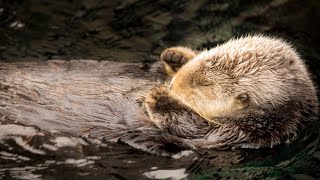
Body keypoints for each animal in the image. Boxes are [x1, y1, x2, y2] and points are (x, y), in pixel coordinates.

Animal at [144, 35, 318, 149]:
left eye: (205, 83)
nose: (172, 86)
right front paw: (176, 57)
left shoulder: (241, 133)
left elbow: (194, 130)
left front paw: (161, 99)